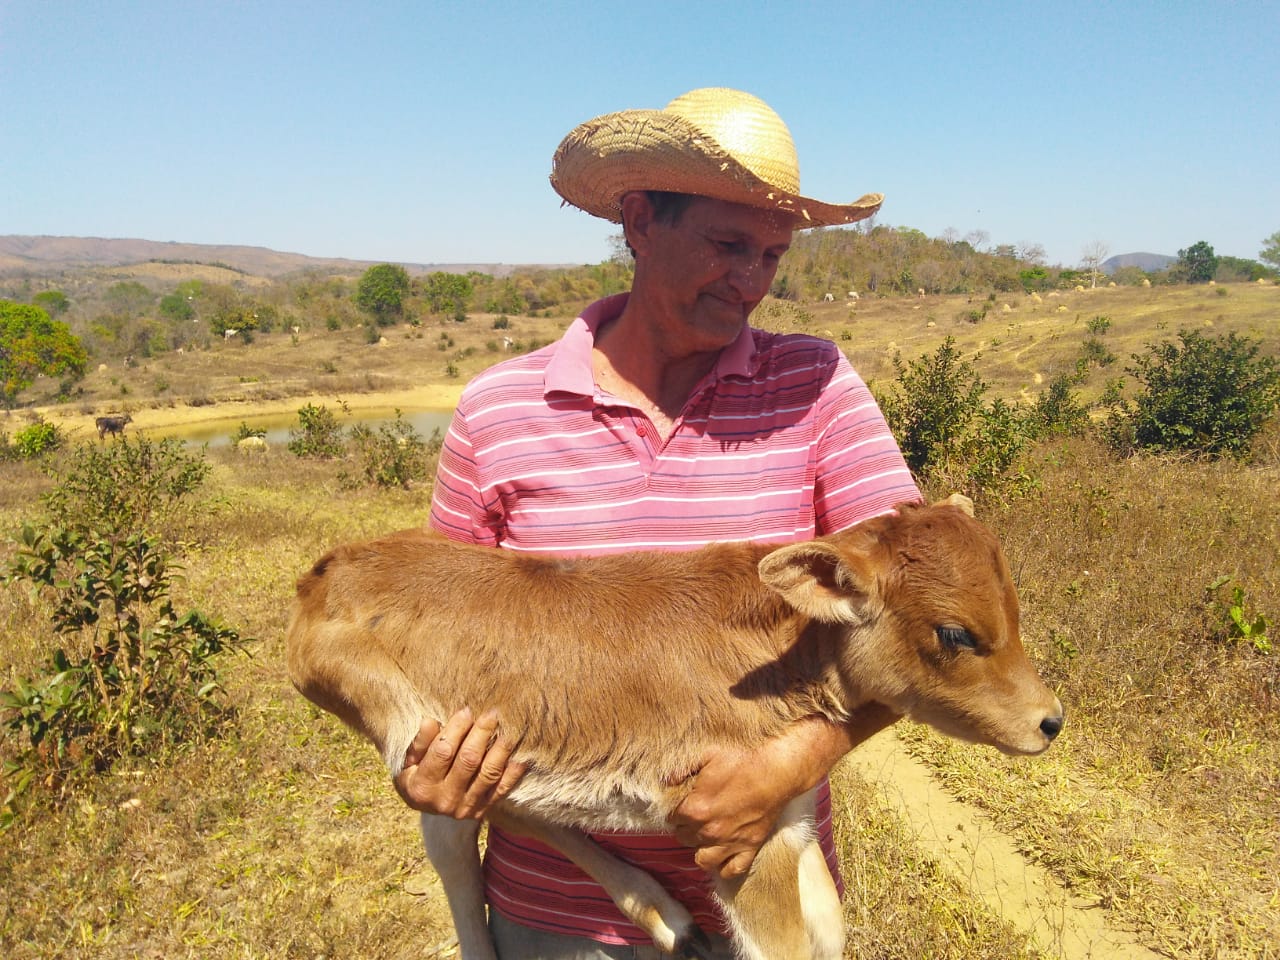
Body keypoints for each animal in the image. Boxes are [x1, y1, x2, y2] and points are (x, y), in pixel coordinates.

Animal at [288, 499, 1059, 957]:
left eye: (1016, 608)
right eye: (955, 633)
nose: (1049, 721)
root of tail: (323, 574)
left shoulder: (787, 812)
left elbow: (827, 918)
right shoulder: (741, 838)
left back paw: (667, 917)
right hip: (415, 728)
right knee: (452, 839)